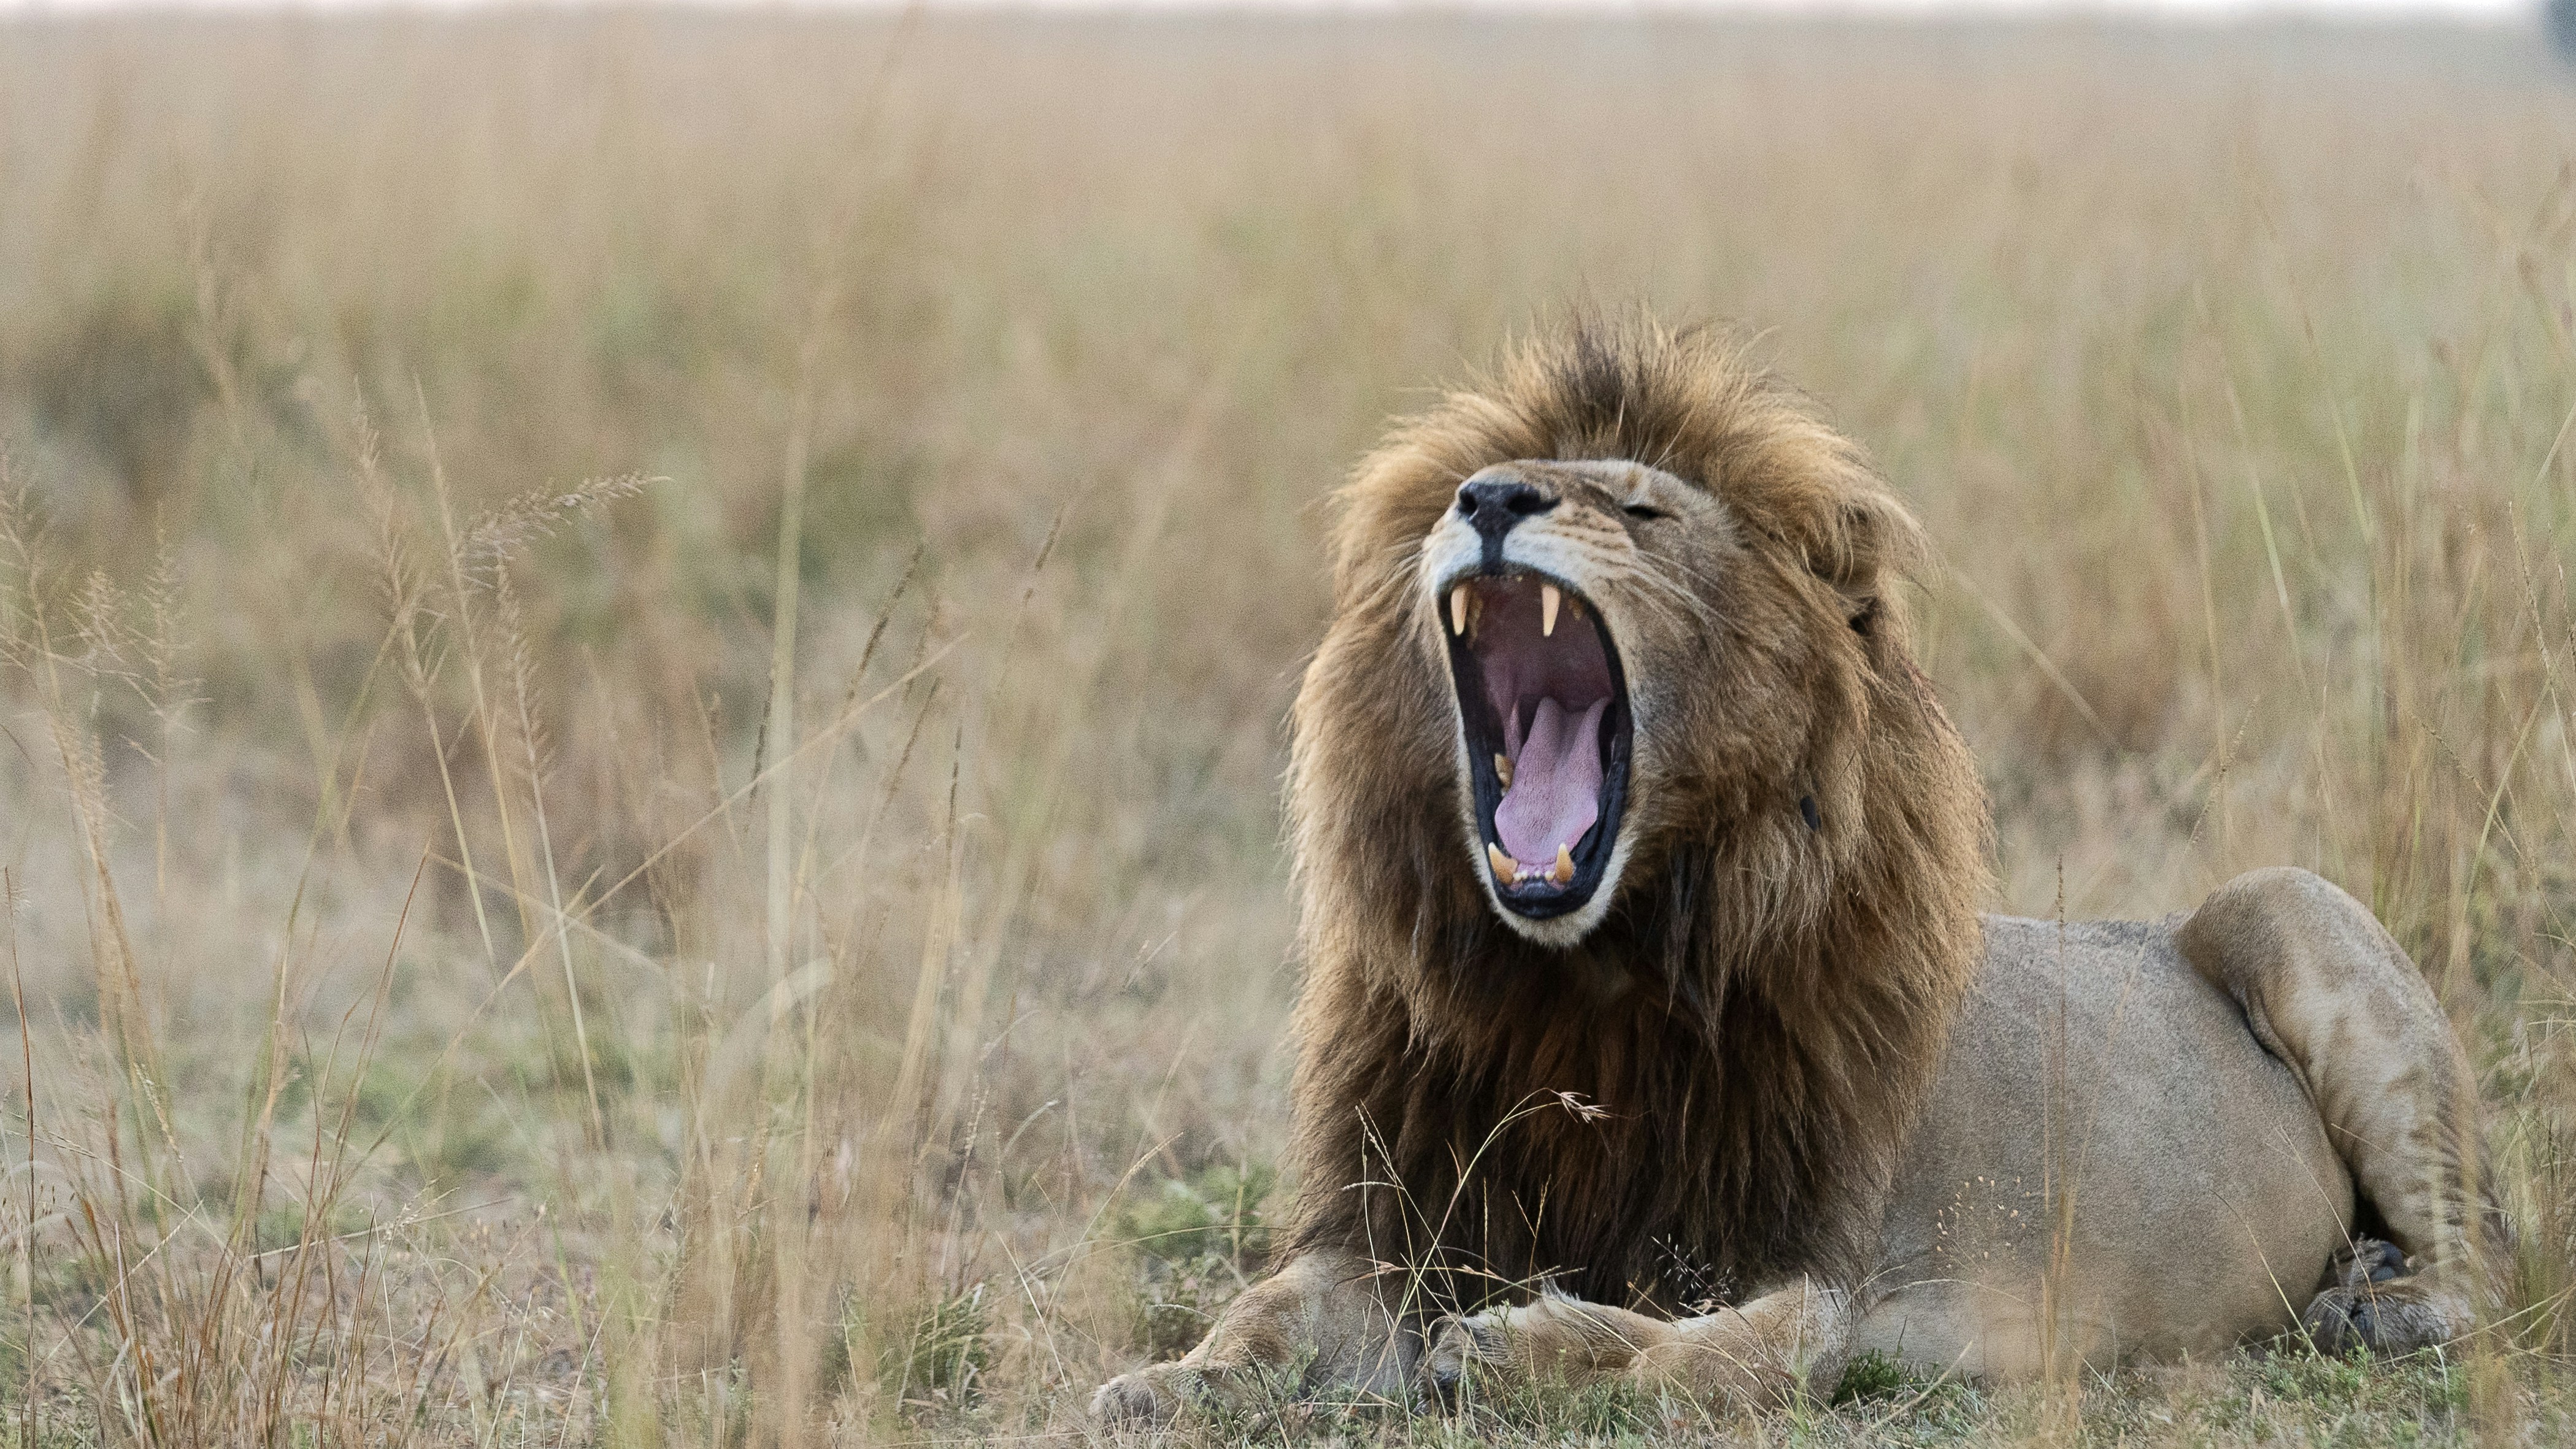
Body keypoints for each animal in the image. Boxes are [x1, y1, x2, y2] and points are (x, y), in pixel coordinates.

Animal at [1092, 316, 2500, 1425]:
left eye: (1639, 507)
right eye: (1460, 495)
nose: (1487, 499)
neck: (1582, 987)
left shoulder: (1854, 1278)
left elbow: (1727, 1357)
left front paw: (1518, 1352)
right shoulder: (1413, 1212)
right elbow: (1269, 1305)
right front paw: (1174, 1378)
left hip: (2292, 908)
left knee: (2488, 1251)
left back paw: (2377, 1304)